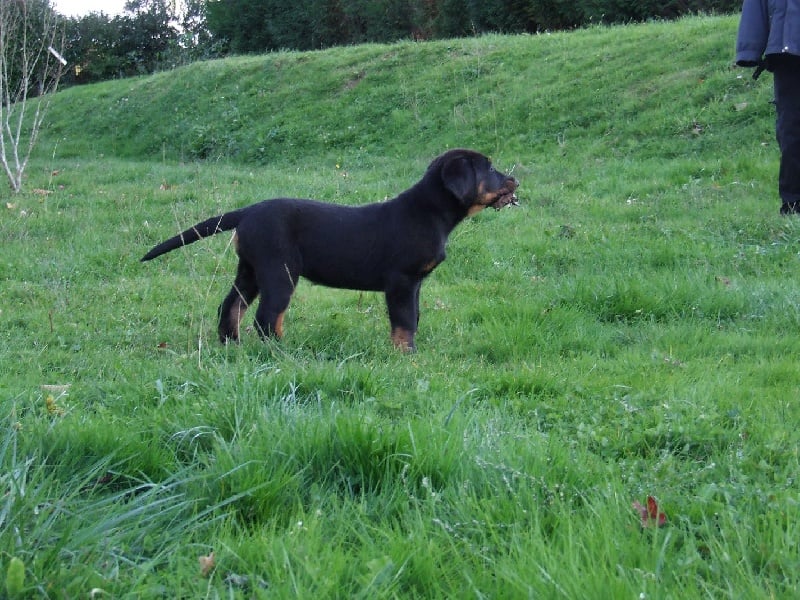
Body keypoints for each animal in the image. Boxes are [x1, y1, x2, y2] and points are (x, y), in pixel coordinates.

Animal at [141, 147, 520, 350]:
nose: (515, 179)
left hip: (250, 269)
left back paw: (230, 345)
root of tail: (247, 211)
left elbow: (414, 317)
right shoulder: (401, 281)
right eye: (489, 168)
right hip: (279, 272)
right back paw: (280, 353)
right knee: (268, 318)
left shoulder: (416, 285)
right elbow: (404, 322)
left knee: (231, 306)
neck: (430, 213)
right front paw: (406, 355)